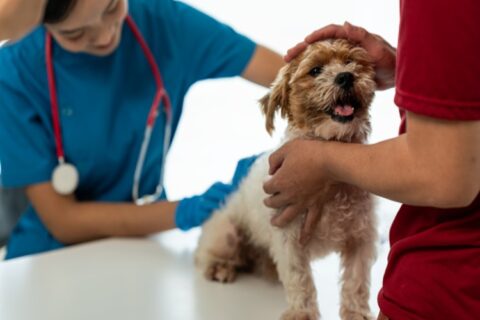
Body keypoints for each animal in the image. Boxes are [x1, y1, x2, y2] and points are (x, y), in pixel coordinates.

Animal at [195, 40, 378, 320]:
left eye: (351, 61)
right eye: (315, 70)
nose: (346, 76)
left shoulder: (361, 237)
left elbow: (356, 282)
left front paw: (356, 313)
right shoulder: (288, 239)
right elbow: (300, 280)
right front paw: (302, 313)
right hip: (226, 232)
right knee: (207, 254)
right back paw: (220, 267)